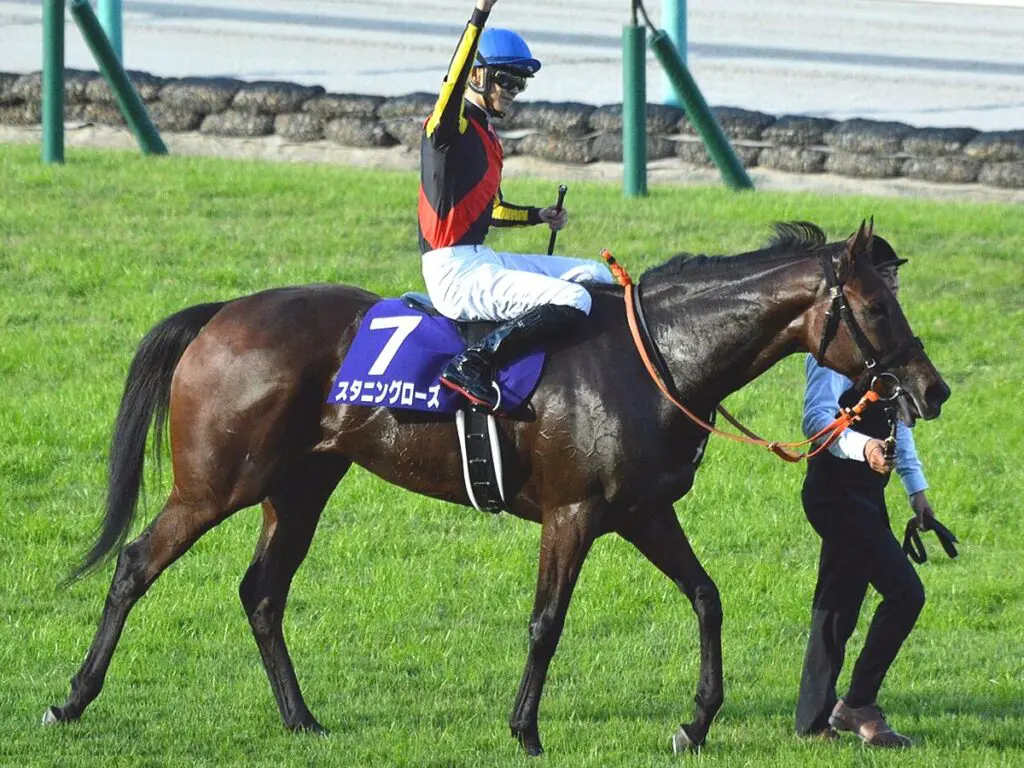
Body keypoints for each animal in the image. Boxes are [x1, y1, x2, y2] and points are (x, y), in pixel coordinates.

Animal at [45, 220, 950, 755]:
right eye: (874, 304)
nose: (931, 390)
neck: (657, 357)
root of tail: (225, 311)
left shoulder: (642, 511)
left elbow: (707, 597)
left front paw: (695, 722)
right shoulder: (573, 514)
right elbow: (547, 622)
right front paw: (525, 729)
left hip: (300, 486)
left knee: (262, 592)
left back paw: (302, 720)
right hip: (216, 483)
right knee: (135, 564)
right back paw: (72, 701)